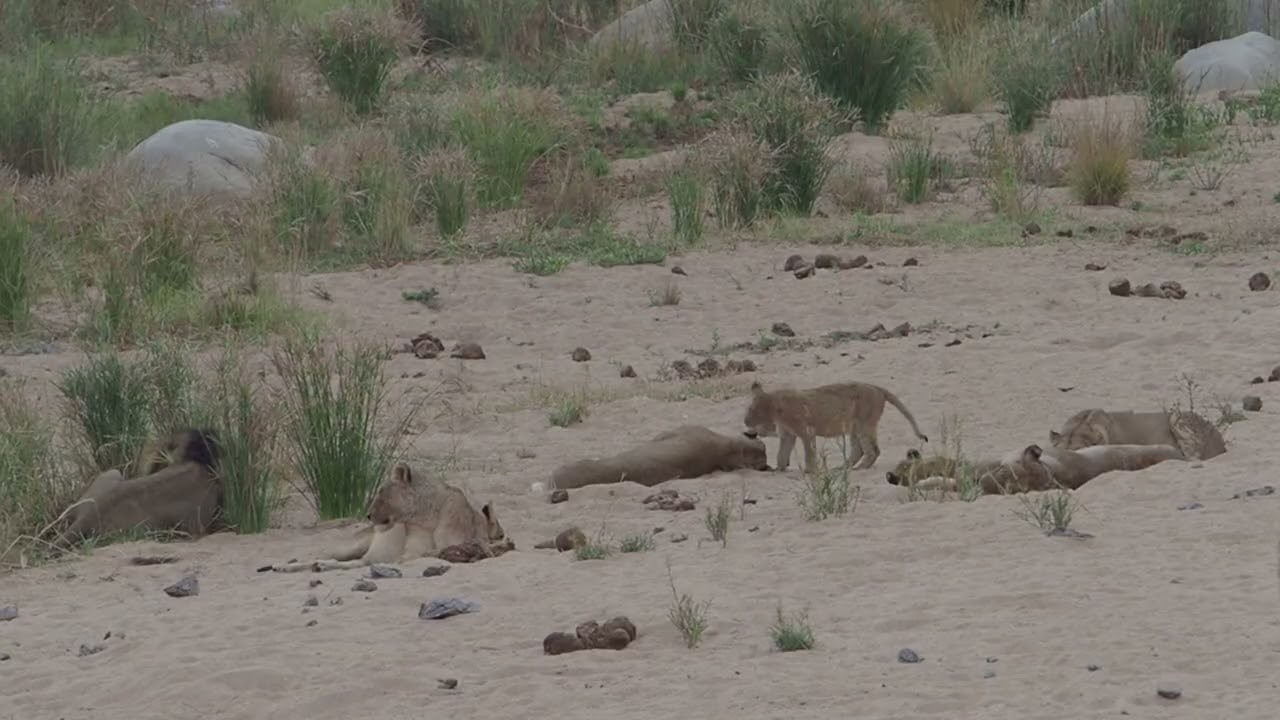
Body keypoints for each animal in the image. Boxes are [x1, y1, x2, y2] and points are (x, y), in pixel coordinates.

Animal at [269, 463, 507, 573]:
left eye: (381, 491)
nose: (368, 515)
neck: (427, 516)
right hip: (350, 547)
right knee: (329, 556)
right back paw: (285, 566)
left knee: (357, 563)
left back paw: (317, 567)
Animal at [743, 380, 929, 473]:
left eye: (749, 409)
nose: (745, 422)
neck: (775, 407)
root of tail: (877, 388)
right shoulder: (788, 435)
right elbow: (782, 454)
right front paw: (779, 469)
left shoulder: (806, 431)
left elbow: (808, 453)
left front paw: (810, 471)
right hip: (854, 427)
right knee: (858, 450)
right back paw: (843, 467)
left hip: (864, 423)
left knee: (873, 450)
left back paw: (859, 468)